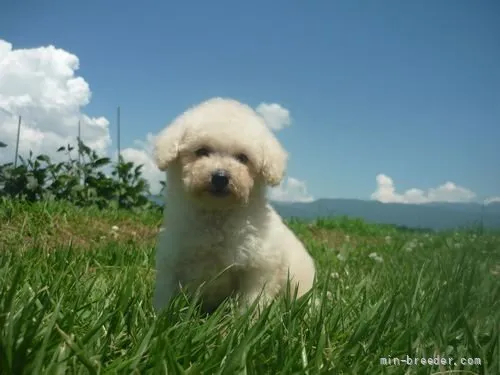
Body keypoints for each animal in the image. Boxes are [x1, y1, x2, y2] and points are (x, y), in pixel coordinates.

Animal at [153, 97, 316, 314]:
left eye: (243, 158)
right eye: (201, 151)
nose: (220, 177)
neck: (217, 214)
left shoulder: (257, 270)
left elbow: (251, 303)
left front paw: (246, 321)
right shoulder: (171, 262)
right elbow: (164, 295)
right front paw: (158, 317)